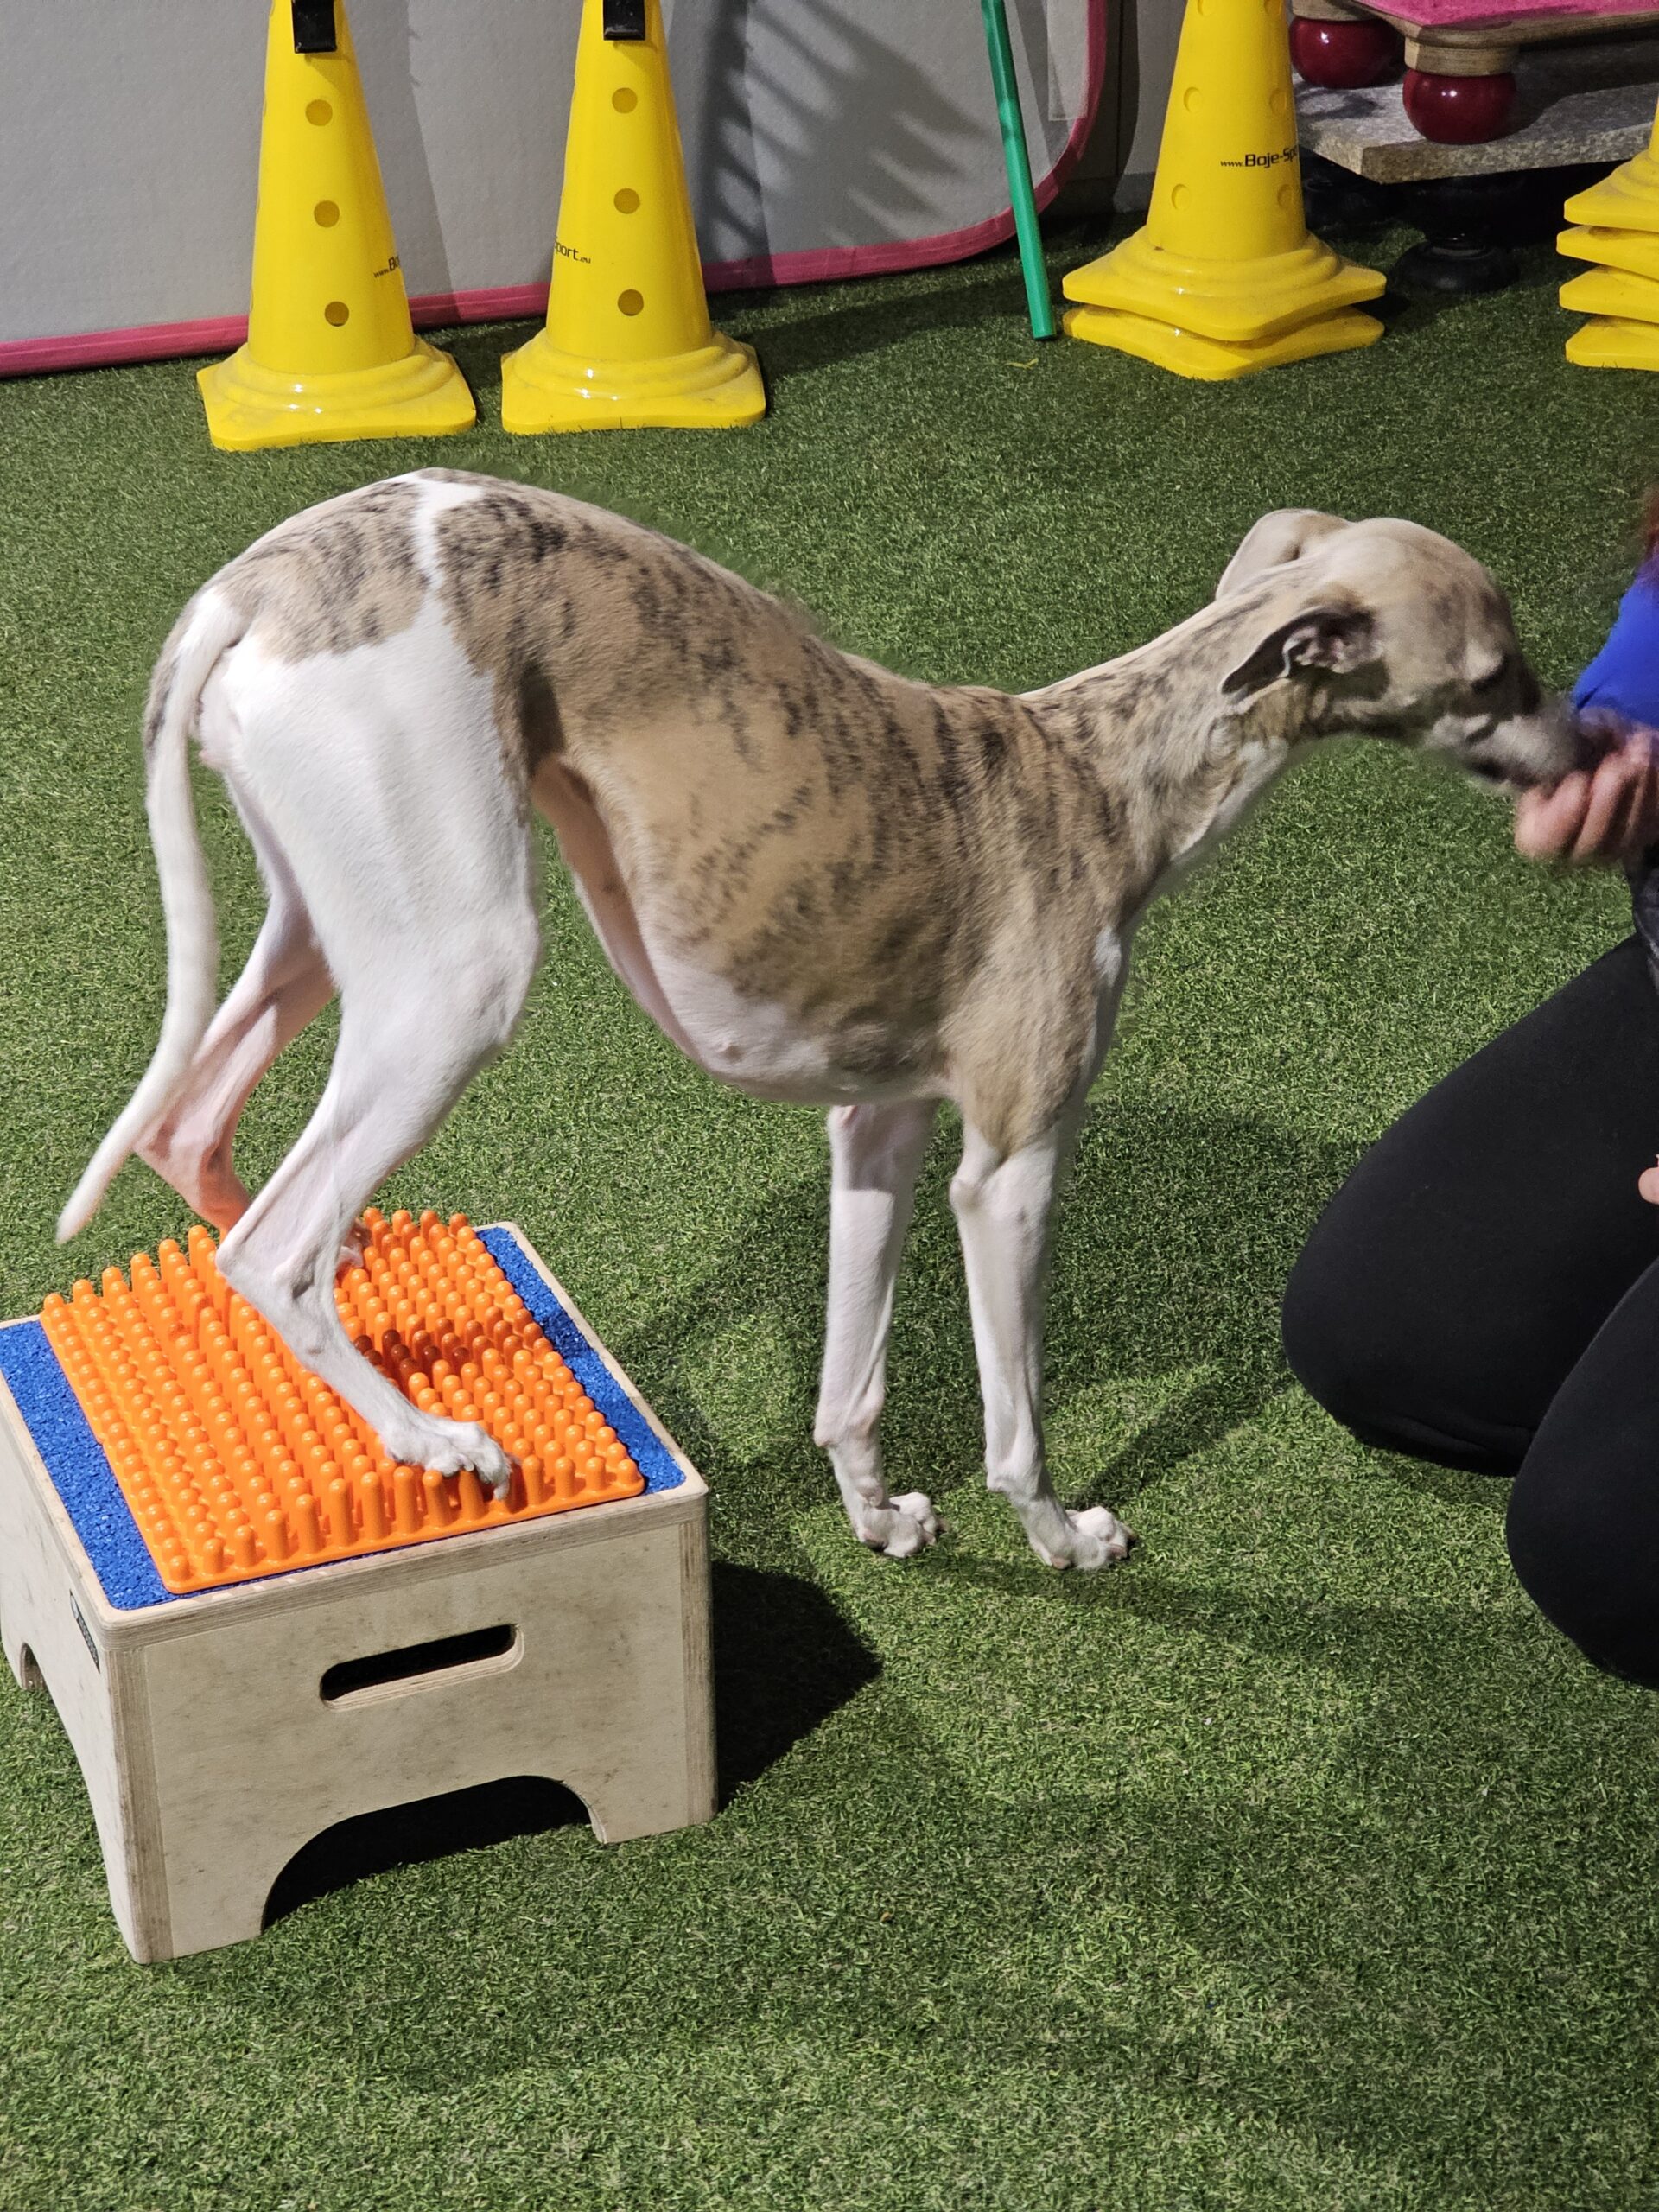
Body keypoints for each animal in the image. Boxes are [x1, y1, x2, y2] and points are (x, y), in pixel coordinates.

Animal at [59, 473, 1577, 1571]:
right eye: (1496, 672)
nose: (1591, 748)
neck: (1102, 777)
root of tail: (258, 578)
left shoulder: (878, 1127)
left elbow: (850, 1383)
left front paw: (879, 1520)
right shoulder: (1009, 1170)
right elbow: (1016, 1422)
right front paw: (1063, 1539)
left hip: (328, 932)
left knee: (196, 1132)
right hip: (459, 975)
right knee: (273, 1253)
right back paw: (435, 1441)